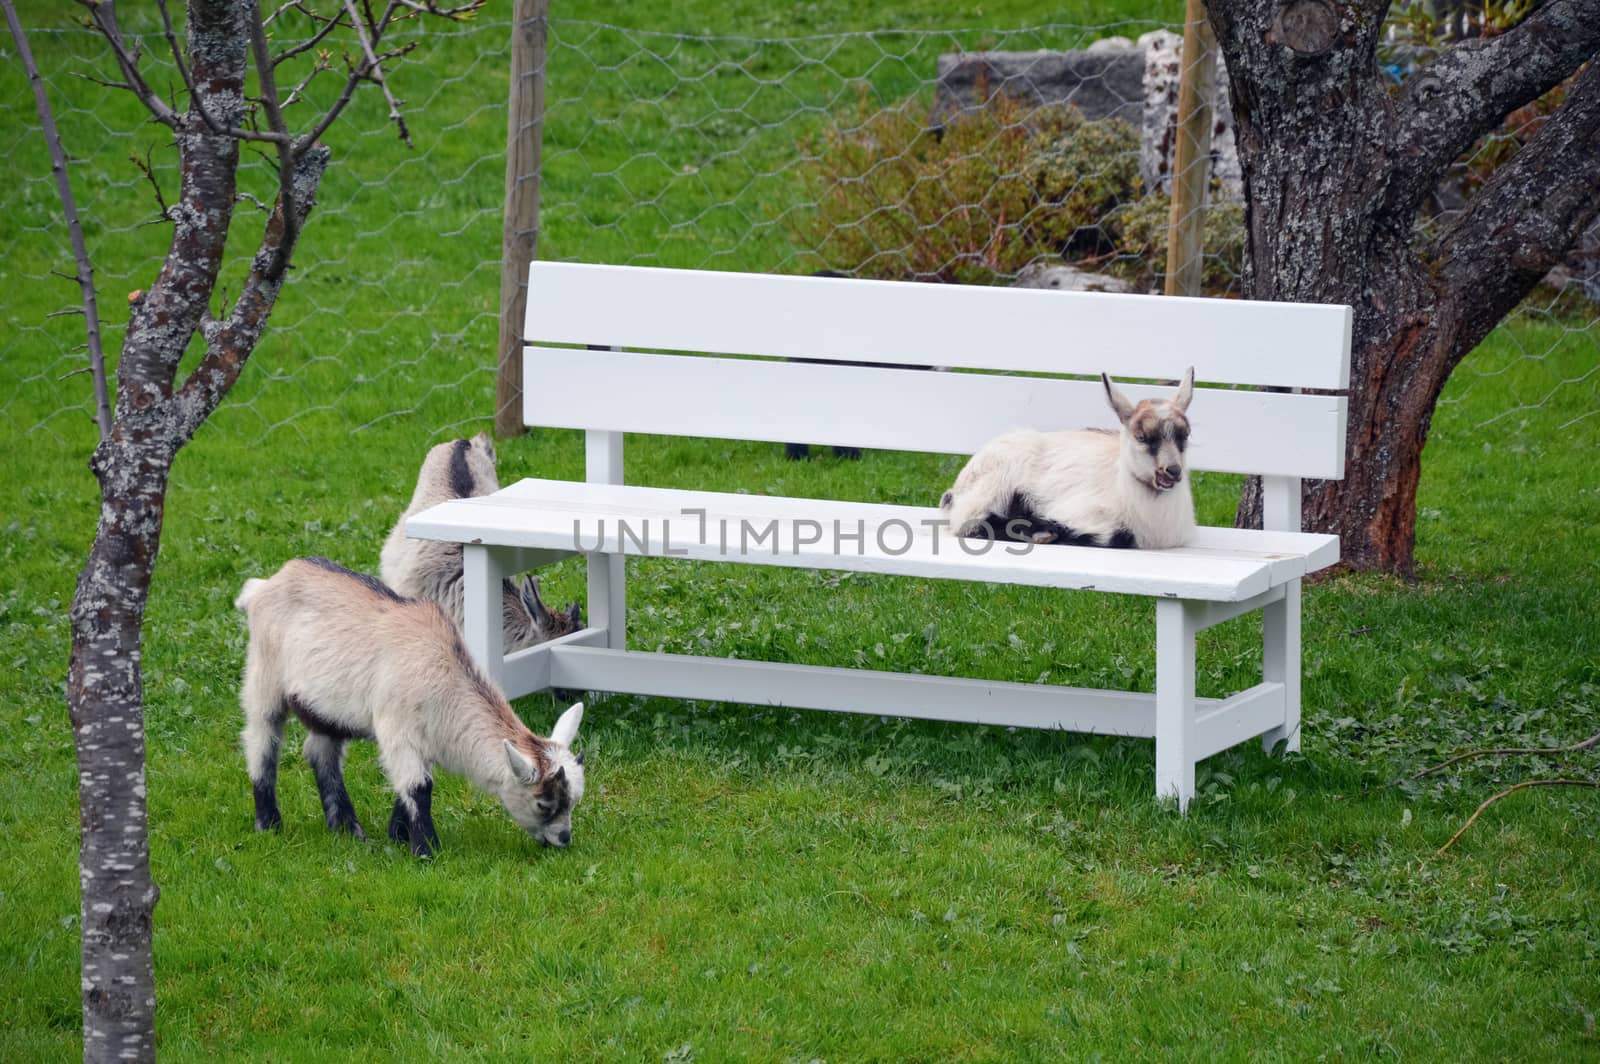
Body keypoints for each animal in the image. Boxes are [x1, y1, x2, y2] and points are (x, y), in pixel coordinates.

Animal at [233, 556, 585, 857]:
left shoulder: (426, 736)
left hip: (324, 709)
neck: (445, 673)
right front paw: (426, 850)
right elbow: (419, 787)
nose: (564, 839)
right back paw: (269, 824)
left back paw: (347, 829)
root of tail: (264, 585)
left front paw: (398, 835)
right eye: (544, 804)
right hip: (264, 679)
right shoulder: (397, 730)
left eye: (573, 802)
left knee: (321, 754)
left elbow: (410, 784)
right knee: (261, 742)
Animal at [940, 368, 1196, 547]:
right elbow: (1110, 535)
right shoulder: (1079, 512)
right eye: (1141, 437)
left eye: (1185, 434)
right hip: (993, 484)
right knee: (967, 520)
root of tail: (956, 488)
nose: (1172, 471)